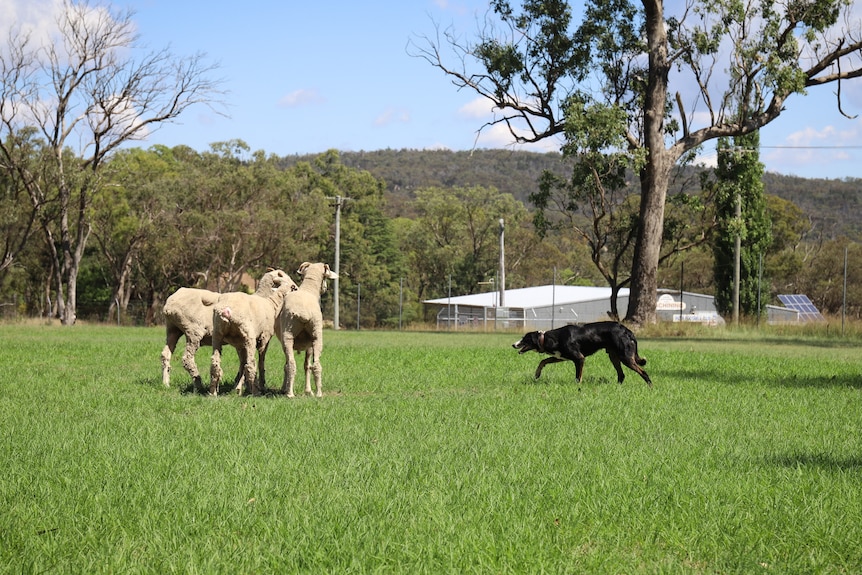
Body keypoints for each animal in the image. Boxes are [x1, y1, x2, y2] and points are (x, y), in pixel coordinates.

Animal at [162, 272, 296, 392]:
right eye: (292, 286)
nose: (296, 287)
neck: (267, 300)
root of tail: (169, 304)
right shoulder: (263, 339)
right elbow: (260, 361)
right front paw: (257, 385)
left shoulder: (240, 343)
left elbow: (243, 361)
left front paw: (240, 384)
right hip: (194, 332)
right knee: (187, 358)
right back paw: (198, 383)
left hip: (173, 330)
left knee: (165, 355)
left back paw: (166, 383)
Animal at [280, 264, 340, 398]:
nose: (325, 288)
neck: (308, 289)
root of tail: (303, 313)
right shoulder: (310, 345)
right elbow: (307, 365)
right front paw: (308, 390)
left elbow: (298, 365)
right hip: (317, 336)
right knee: (316, 365)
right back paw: (318, 393)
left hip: (288, 336)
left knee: (291, 364)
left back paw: (289, 393)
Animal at [516, 322, 652, 390]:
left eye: (524, 339)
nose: (513, 344)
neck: (550, 338)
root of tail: (627, 331)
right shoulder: (560, 356)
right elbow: (543, 361)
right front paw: (537, 374)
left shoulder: (579, 358)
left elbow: (578, 377)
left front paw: (578, 388)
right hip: (614, 357)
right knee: (621, 375)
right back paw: (616, 388)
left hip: (625, 358)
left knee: (643, 372)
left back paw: (650, 387)